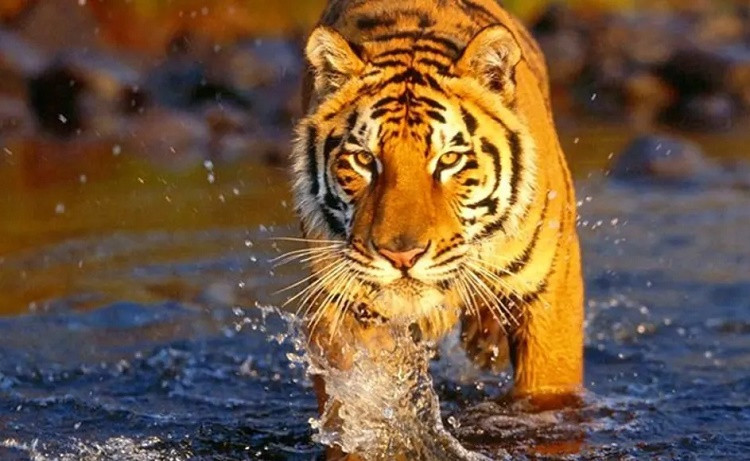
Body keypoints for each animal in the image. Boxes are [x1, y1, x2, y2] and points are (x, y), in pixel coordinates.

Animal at [288, 0, 584, 454]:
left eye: (449, 160)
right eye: (364, 159)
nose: (401, 256)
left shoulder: (550, 288)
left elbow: (547, 396)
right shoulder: (343, 303)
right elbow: (359, 408)